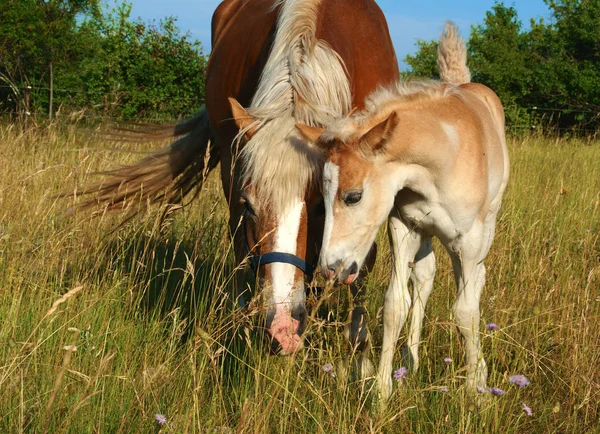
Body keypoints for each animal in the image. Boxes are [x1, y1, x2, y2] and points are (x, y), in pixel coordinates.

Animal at [298, 22, 508, 398]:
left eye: (353, 196)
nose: (331, 268)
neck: (441, 160)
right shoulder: (404, 226)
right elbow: (395, 304)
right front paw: (382, 391)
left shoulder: (468, 240)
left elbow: (465, 311)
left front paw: (475, 389)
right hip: (427, 234)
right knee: (424, 277)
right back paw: (412, 361)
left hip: (487, 224)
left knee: (475, 278)